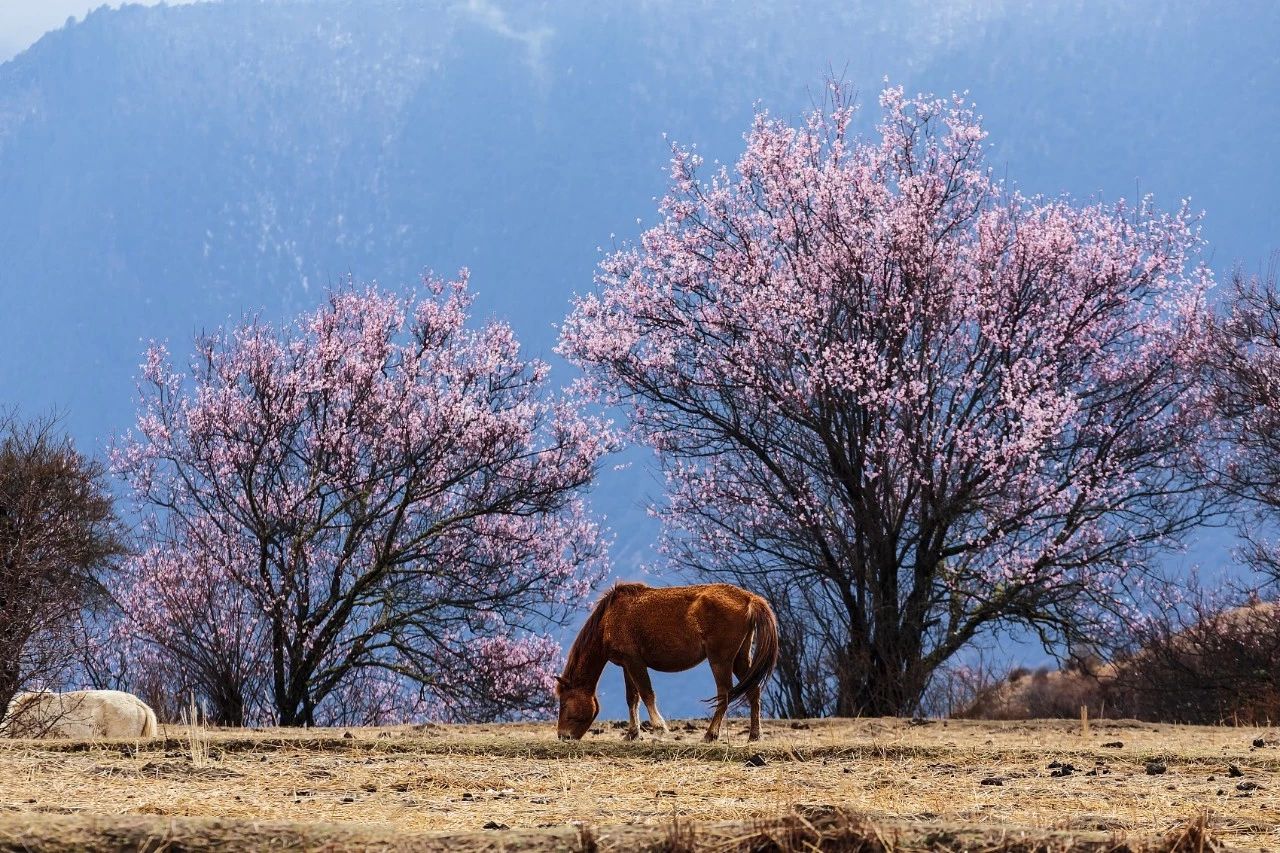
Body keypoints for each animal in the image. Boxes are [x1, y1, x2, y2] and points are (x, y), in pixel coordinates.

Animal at [552, 581, 773, 742]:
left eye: (564, 703)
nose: (563, 736)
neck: (609, 618)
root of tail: (749, 599)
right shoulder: (626, 664)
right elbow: (632, 698)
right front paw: (632, 734)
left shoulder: (635, 661)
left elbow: (647, 694)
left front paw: (659, 728)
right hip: (739, 658)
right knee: (753, 690)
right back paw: (754, 735)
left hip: (720, 660)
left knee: (724, 692)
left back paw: (710, 734)